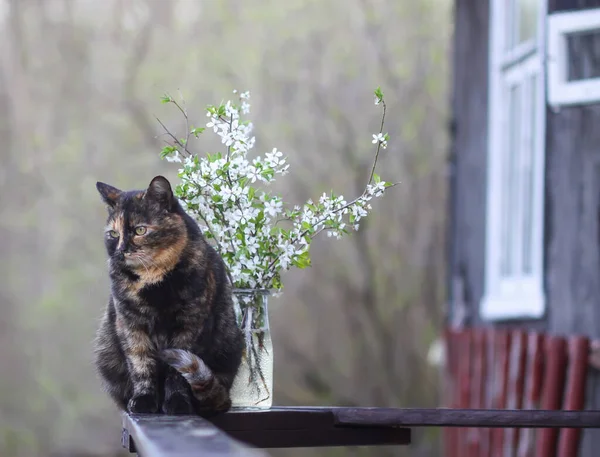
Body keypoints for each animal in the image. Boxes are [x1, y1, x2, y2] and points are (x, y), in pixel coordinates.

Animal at [94, 175, 244, 416]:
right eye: (114, 234)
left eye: (140, 230)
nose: (121, 250)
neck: (153, 282)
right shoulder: (130, 326)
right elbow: (141, 365)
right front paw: (143, 401)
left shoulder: (190, 326)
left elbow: (177, 374)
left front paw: (177, 403)